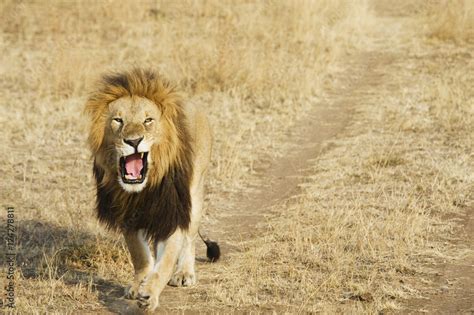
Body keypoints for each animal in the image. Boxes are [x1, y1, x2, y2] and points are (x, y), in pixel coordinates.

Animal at [84, 68, 218, 312]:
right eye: (118, 120)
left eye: (148, 120)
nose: (134, 141)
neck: (144, 189)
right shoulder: (127, 213)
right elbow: (140, 255)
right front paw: (139, 283)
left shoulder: (172, 213)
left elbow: (166, 261)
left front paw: (149, 293)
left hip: (194, 194)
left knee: (190, 238)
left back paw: (184, 273)